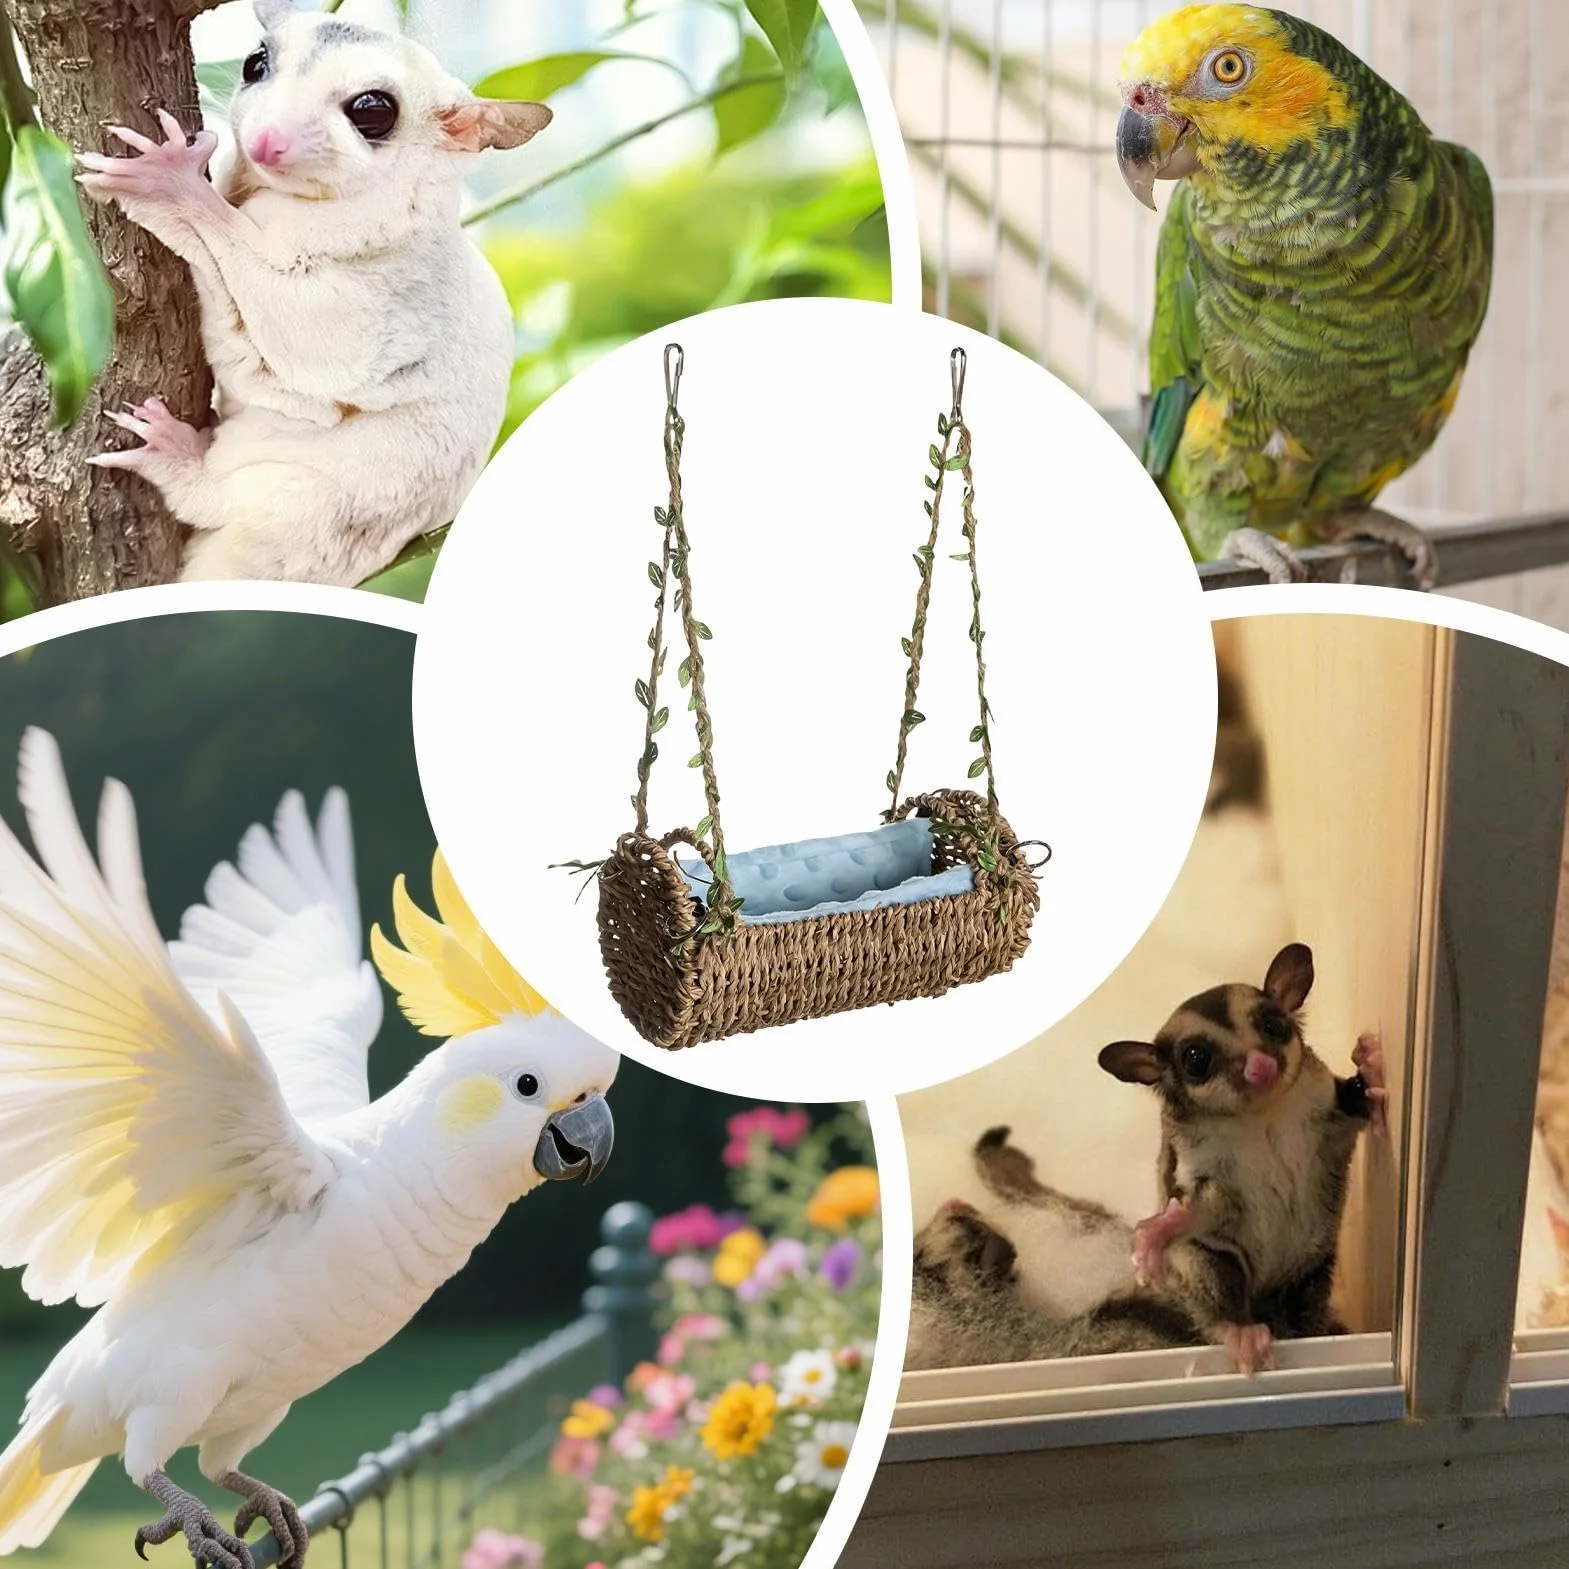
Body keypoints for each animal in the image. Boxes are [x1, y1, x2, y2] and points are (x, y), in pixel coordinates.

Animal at [76, 0, 550, 586]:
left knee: (232, 500)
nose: (264, 141)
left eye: (372, 111)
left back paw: (177, 458)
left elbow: (316, 340)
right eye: (254, 64)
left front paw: (169, 183)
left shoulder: (384, 282)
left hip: (312, 511)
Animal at [1099, 942, 1387, 1373]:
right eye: (1196, 1059)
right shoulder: (1203, 1164)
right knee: (1215, 1275)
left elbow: (1352, 1104)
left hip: (1310, 1267)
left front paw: (1369, 1062)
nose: (1261, 1066)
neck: (1259, 1117)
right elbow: (1202, 1210)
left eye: (1273, 1025)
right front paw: (1160, 1231)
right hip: (1206, 1266)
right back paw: (1242, 1332)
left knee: (1306, 1298)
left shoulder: (1325, 1110)